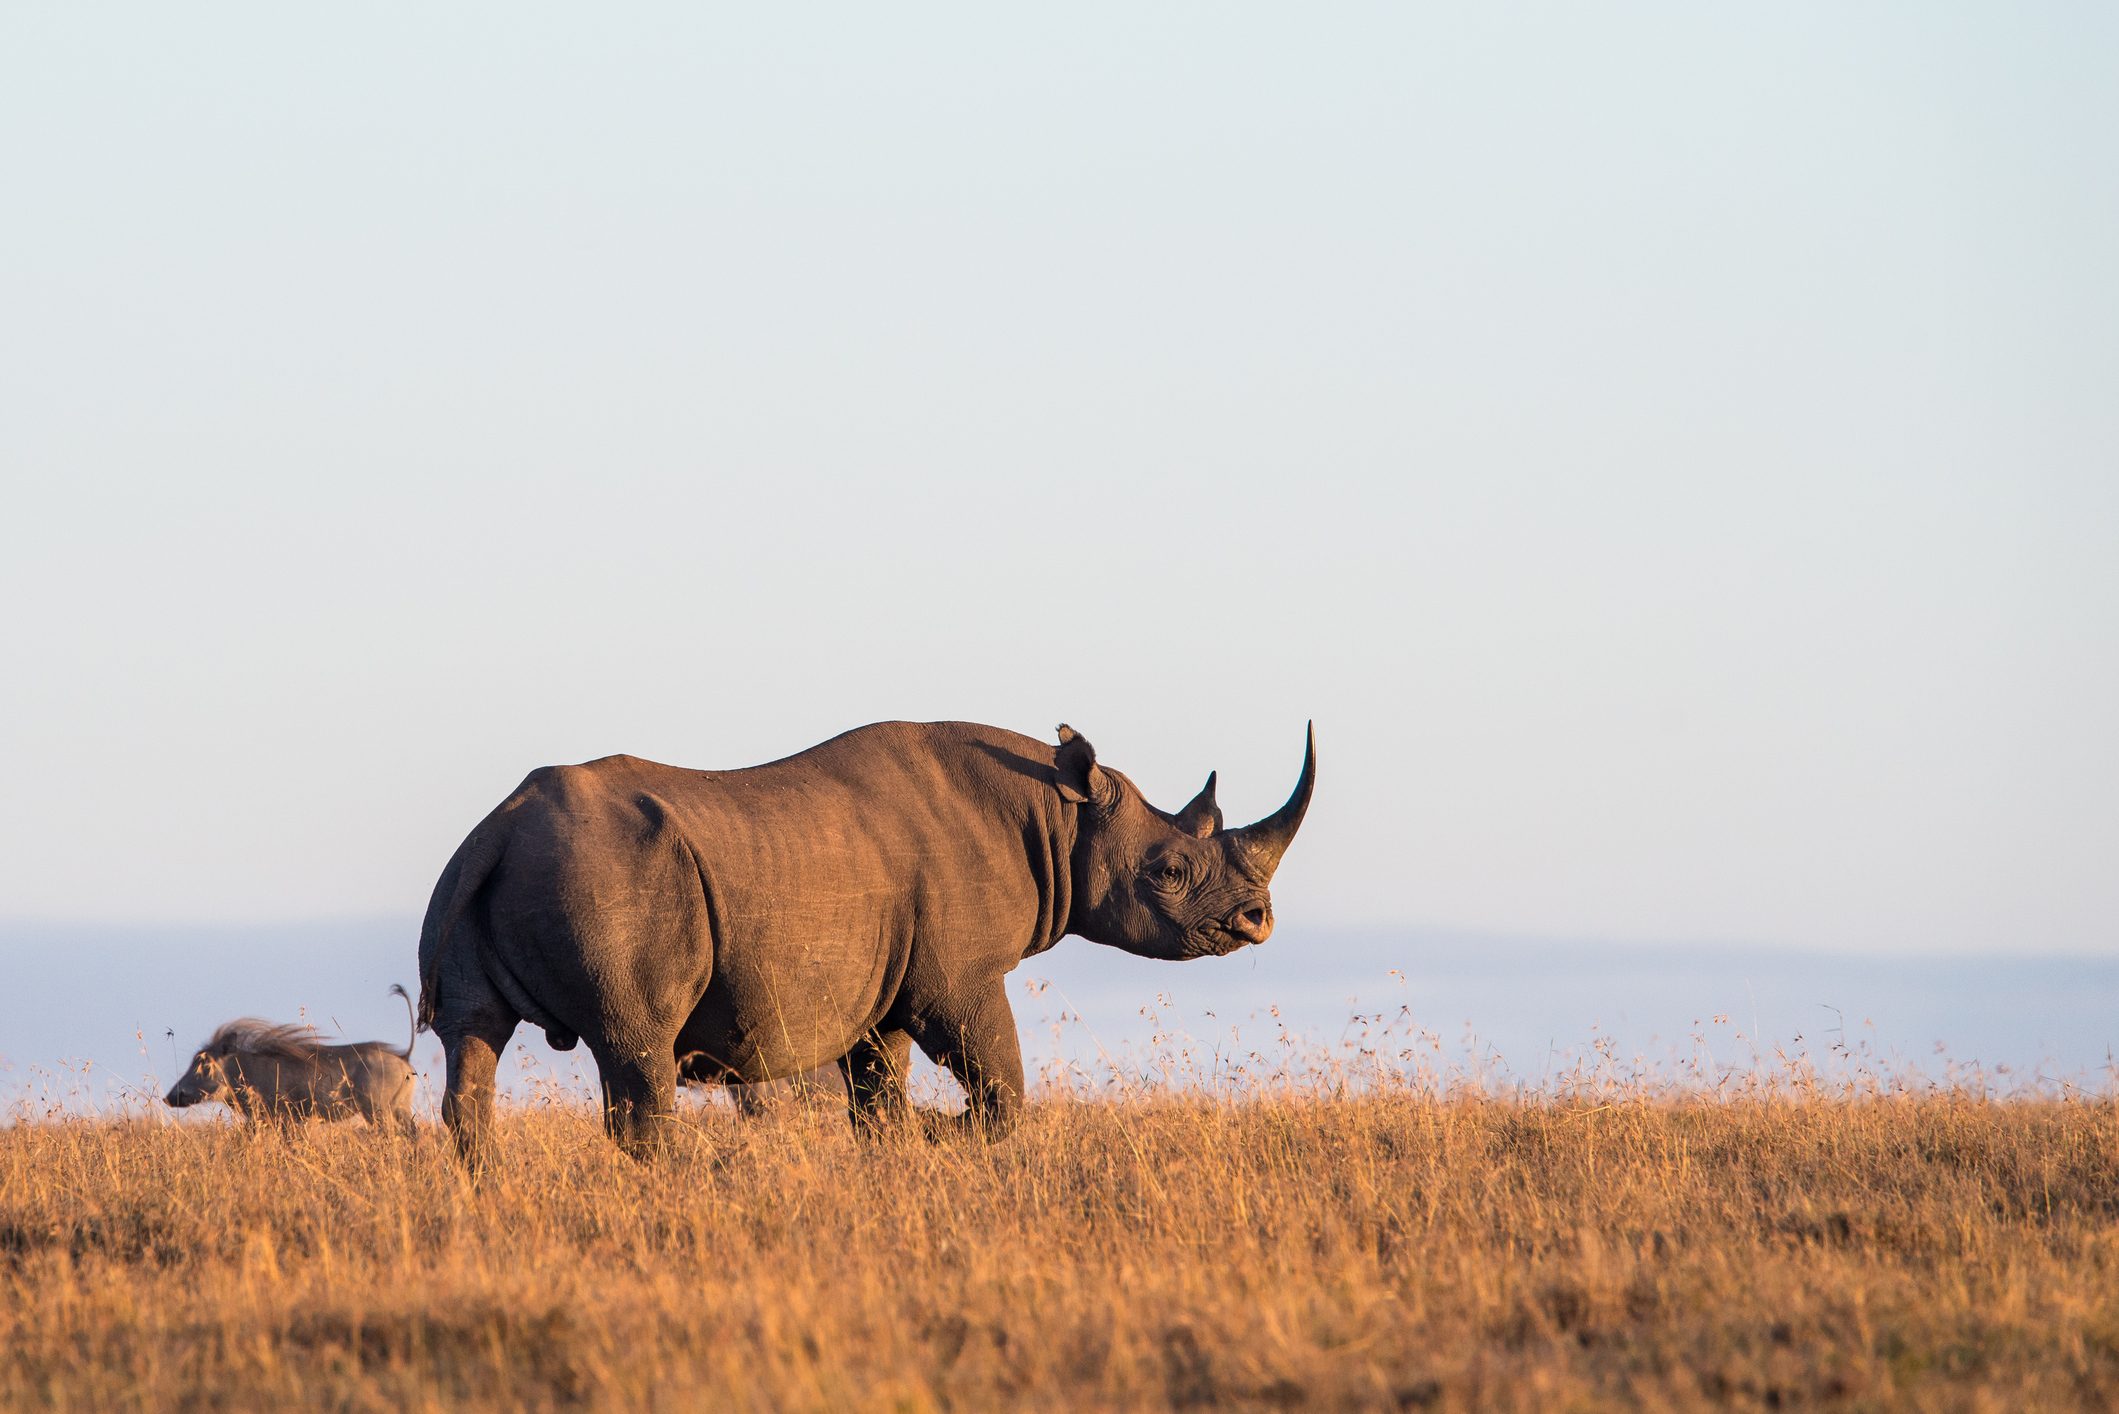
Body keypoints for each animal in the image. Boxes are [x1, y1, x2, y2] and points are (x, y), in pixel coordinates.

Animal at [164, 985, 418, 1134]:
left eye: (204, 1063)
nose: (168, 1098)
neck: (242, 1070)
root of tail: (403, 1056)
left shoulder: (279, 1117)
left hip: (377, 1110)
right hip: (400, 1107)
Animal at [417, 719, 1314, 1168]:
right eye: (1169, 870)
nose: (1255, 921)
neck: (1061, 817)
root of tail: (499, 826)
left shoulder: (880, 990)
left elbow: (878, 1099)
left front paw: (900, 1151)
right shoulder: (956, 976)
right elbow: (1002, 1088)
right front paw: (942, 1133)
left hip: (482, 871)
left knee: (473, 1039)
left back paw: (483, 1188)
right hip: (608, 878)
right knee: (636, 1043)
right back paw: (685, 1184)